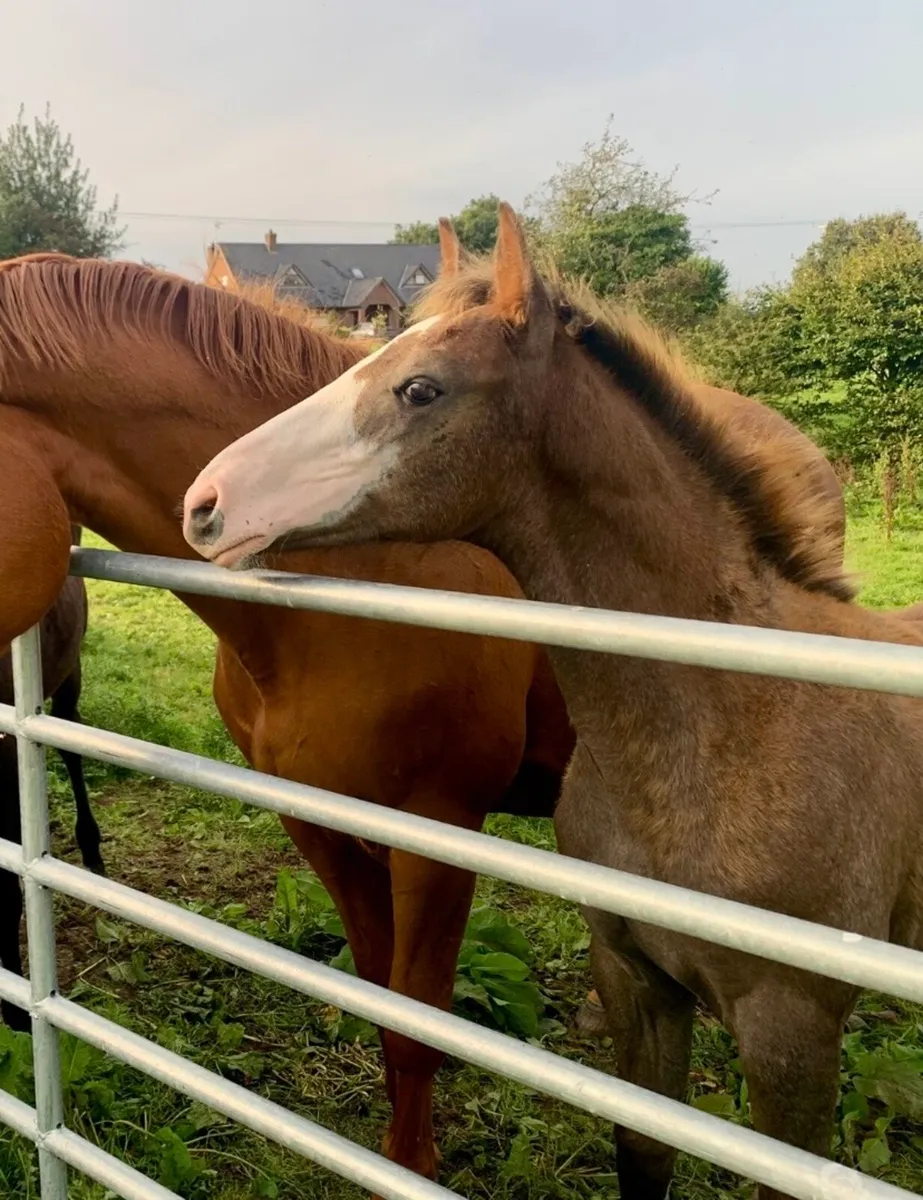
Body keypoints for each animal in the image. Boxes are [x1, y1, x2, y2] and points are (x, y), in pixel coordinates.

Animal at [0, 249, 841, 1189]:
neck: (359, 581)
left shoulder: (438, 833)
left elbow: (418, 1023)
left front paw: (411, 1166)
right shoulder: (319, 823)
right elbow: (377, 1000)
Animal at [184, 204, 923, 1200]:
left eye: (420, 389)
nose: (206, 501)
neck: (733, 723)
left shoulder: (791, 1025)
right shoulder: (635, 979)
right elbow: (641, 1153)